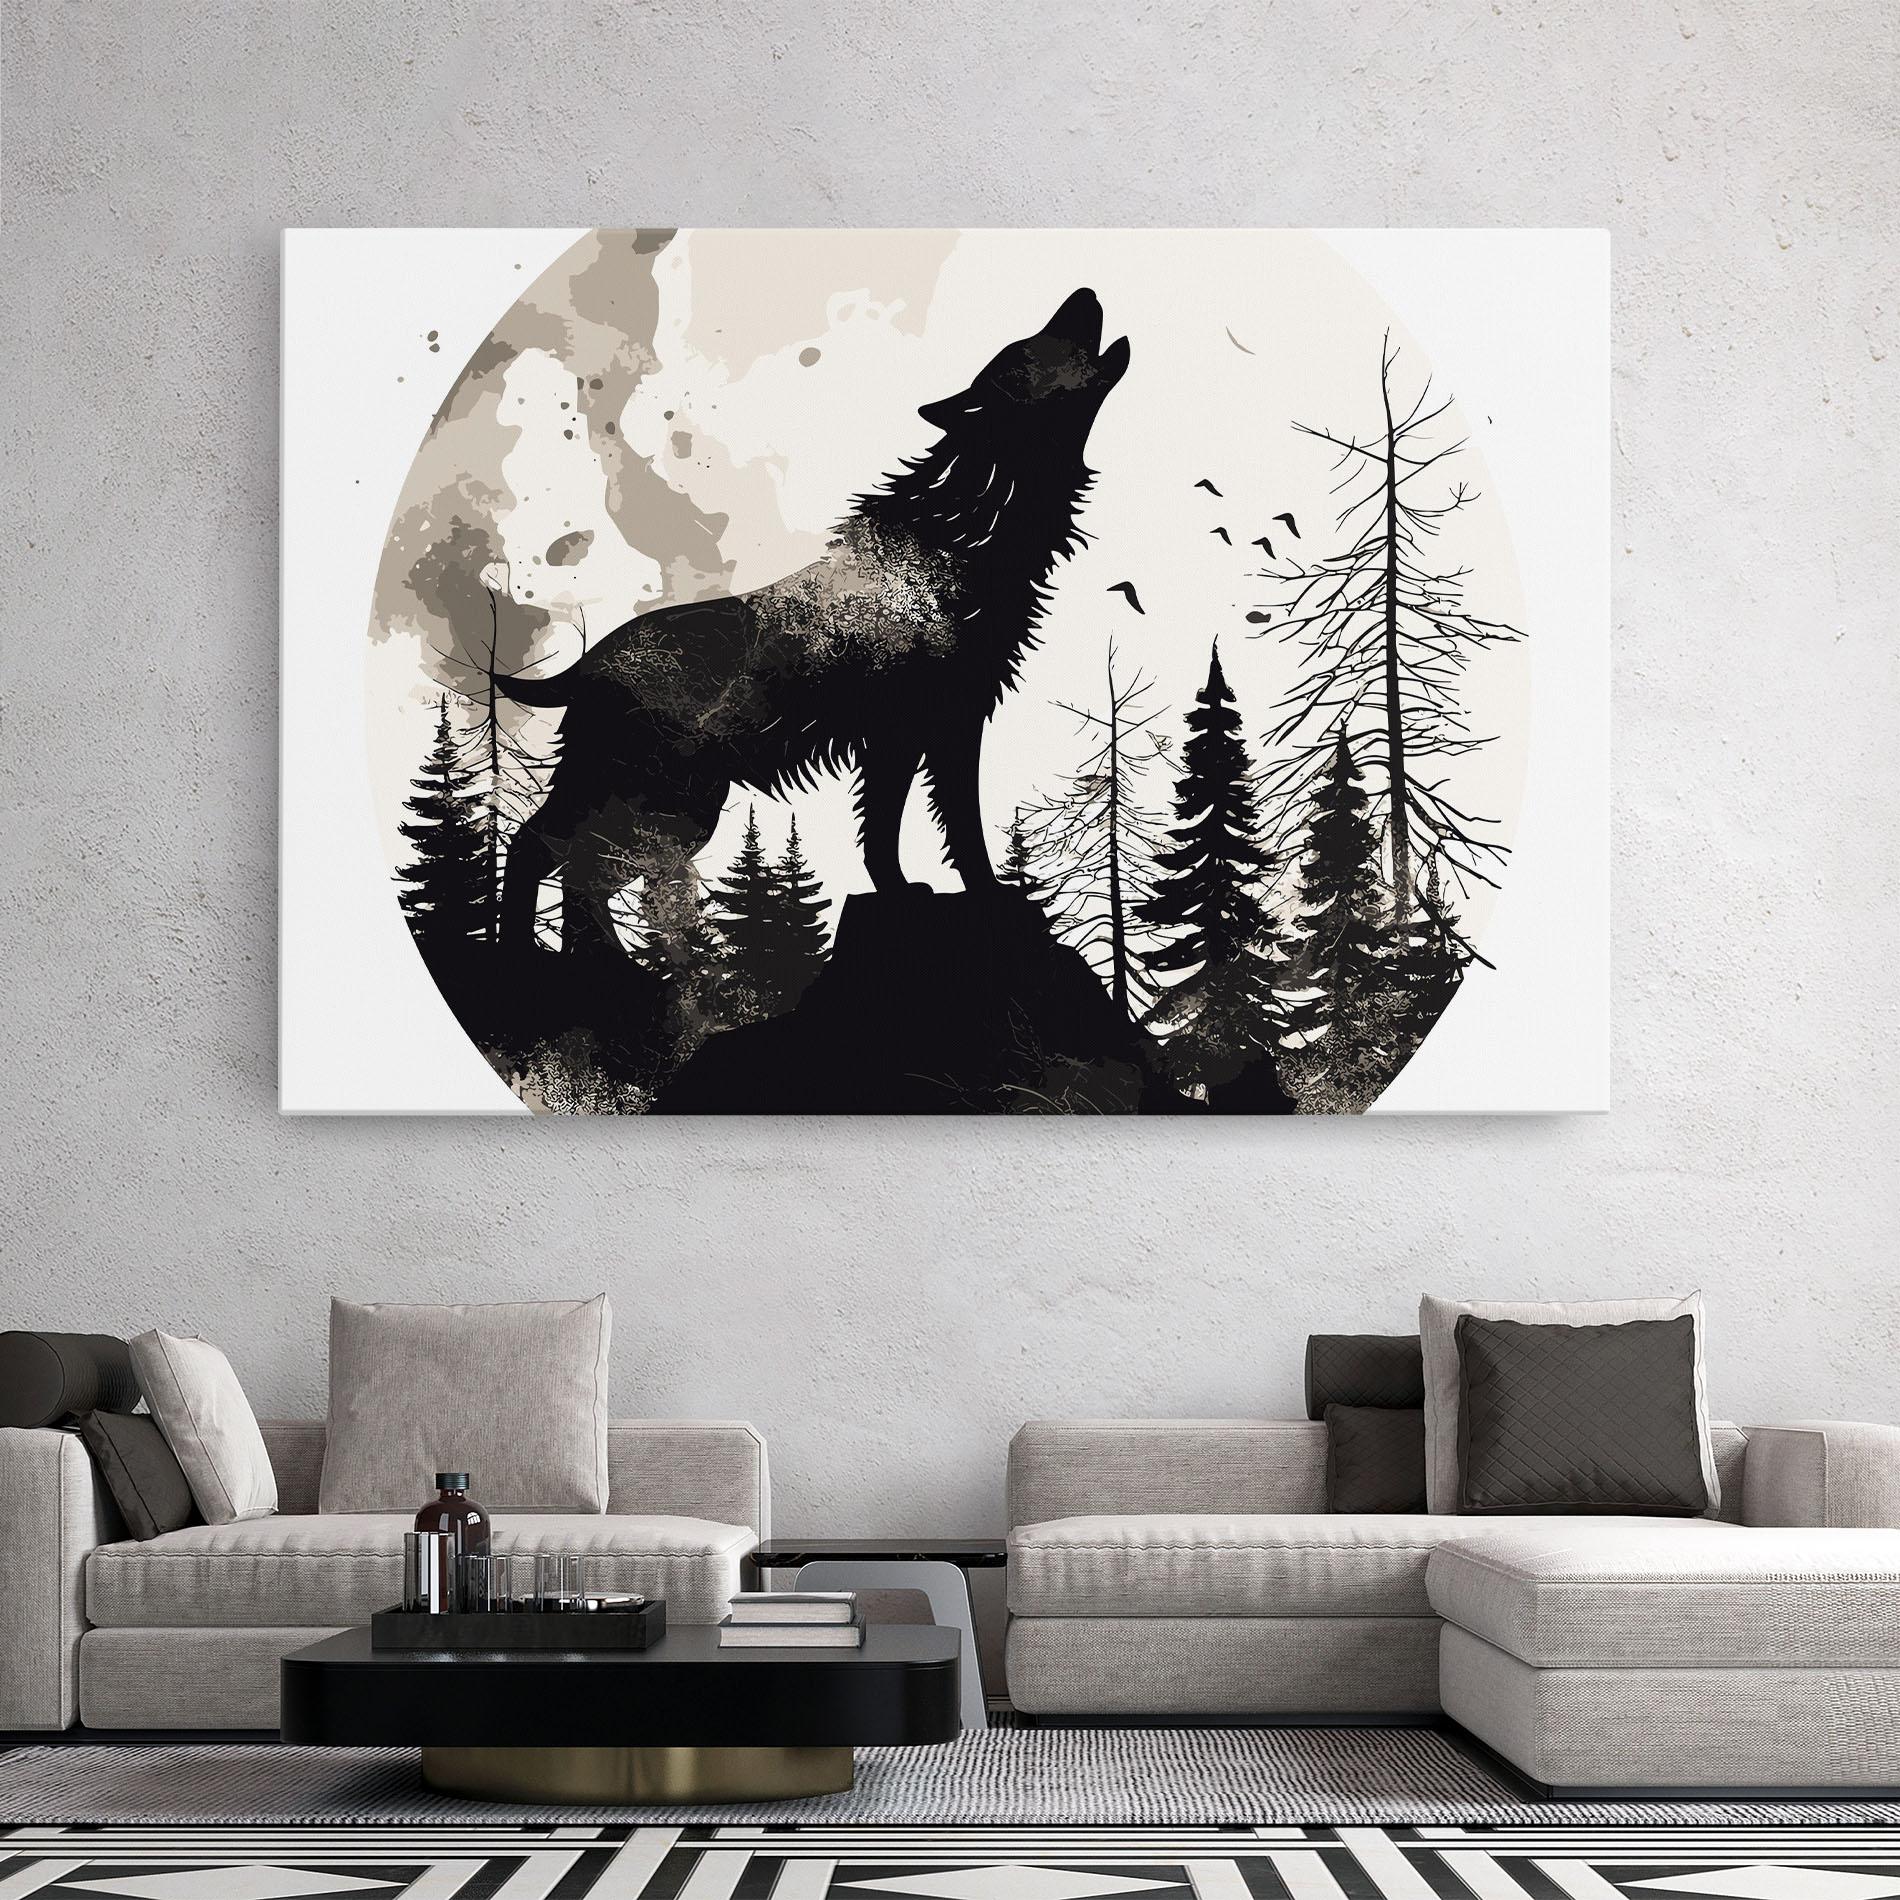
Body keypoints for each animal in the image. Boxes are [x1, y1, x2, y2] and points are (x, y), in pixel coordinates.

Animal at [491, 287, 1129, 960]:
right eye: (1029, 347)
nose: (1085, 292)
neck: (966, 534)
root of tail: (588, 664)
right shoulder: (926, 729)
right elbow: (944, 829)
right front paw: (980, 895)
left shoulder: (920, 730)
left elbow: (890, 829)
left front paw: (907, 889)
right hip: (661, 795)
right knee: (548, 852)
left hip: (668, 801)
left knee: (575, 867)